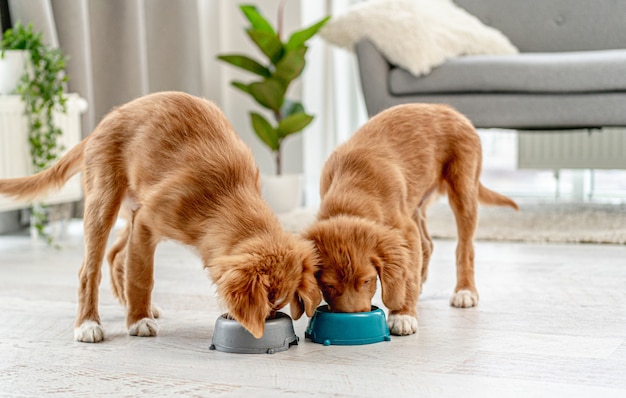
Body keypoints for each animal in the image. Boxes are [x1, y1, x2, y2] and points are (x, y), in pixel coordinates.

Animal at [0, 91, 320, 342]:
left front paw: (136, 310)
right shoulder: (147, 223)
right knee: (89, 269)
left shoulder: (141, 219)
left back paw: (124, 302)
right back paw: (88, 324)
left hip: (130, 208)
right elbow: (142, 276)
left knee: (116, 255)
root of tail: (102, 124)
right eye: (267, 303)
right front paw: (138, 320)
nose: (267, 323)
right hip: (104, 203)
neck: (227, 194)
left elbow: (132, 267)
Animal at [304, 102, 516, 336]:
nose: (352, 320)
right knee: (427, 244)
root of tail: (449, 109)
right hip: (415, 202)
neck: (351, 193)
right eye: (329, 285)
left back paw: (465, 291)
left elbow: (407, 275)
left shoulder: (404, 230)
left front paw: (402, 315)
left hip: (463, 189)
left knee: (464, 248)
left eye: (368, 280)